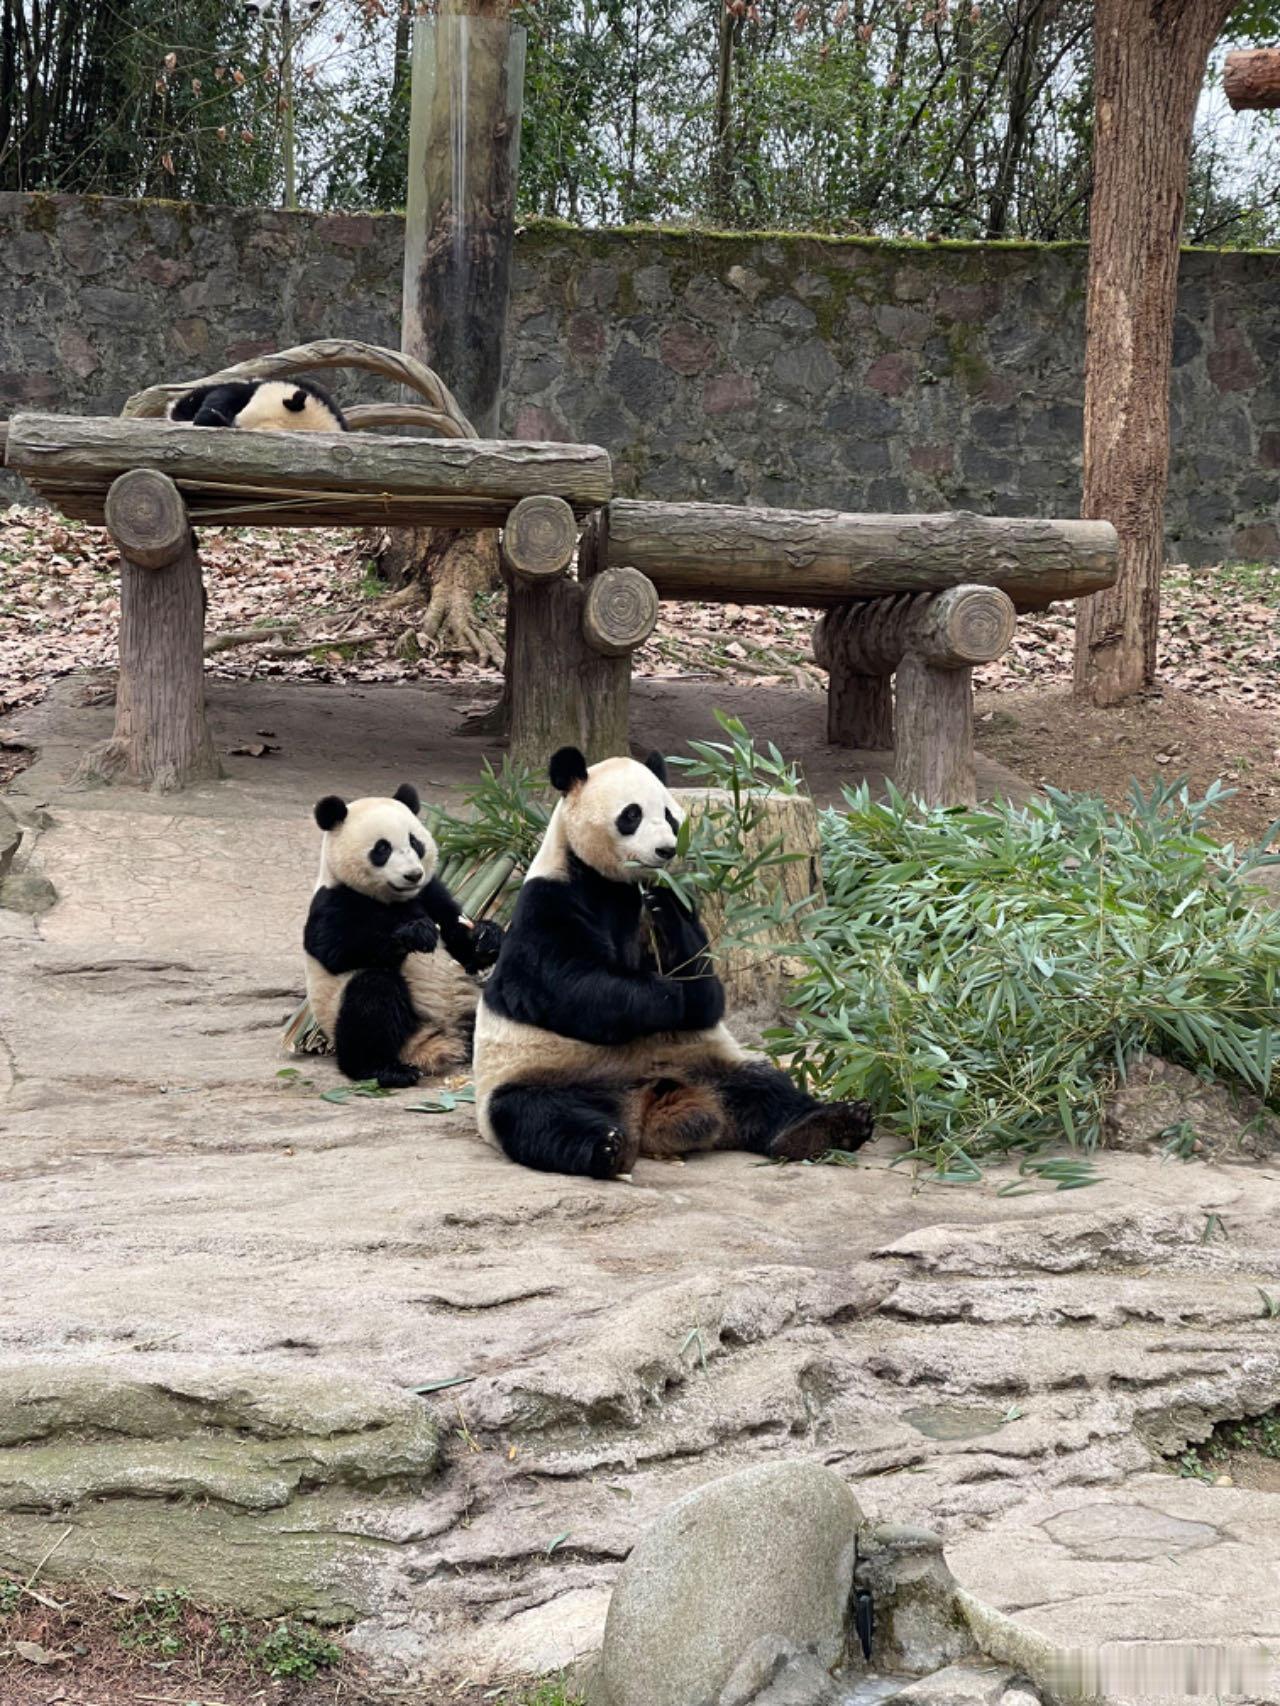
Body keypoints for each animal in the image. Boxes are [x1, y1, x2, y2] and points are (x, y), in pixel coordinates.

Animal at [308, 781, 505, 1085]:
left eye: (415, 842)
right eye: (382, 849)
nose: (413, 875)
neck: (395, 899)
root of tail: (437, 1043)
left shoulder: (431, 892)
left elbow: (461, 944)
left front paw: (487, 935)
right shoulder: (333, 900)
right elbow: (336, 950)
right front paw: (416, 933)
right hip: (353, 1014)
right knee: (372, 996)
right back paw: (384, 1070)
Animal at [477, 747, 880, 1173]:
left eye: (670, 815)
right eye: (631, 815)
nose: (666, 850)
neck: (612, 883)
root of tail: (648, 1108)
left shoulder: (674, 905)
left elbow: (706, 984)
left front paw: (665, 909)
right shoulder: (547, 902)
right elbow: (570, 988)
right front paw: (667, 996)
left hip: (704, 1063)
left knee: (765, 1088)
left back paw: (828, 1125)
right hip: (548, 1076)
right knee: (536, 1114)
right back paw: (605, 1147)